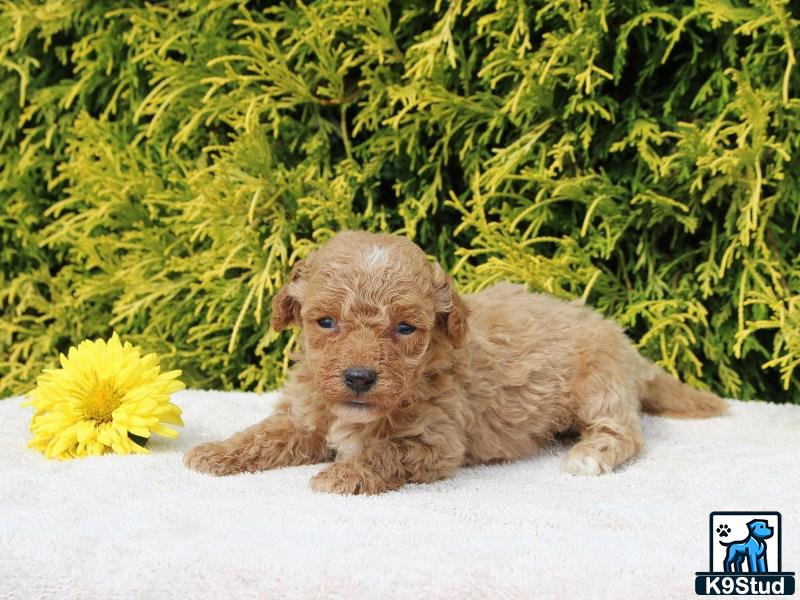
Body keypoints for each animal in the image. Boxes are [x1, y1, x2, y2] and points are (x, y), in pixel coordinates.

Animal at [186, 230, 724, 492]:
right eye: (325, 322)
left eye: (406, 329)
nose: (358, 378)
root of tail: (625, 342)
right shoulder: (306, 415)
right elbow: (265, 435)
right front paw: (215, 453)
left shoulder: (436, 442)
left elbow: (384, 453)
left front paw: (343, 475)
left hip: (601, 387)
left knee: (625, 432)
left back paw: (590, 455)